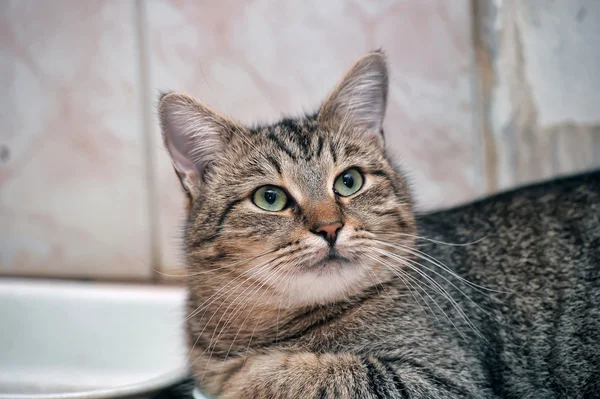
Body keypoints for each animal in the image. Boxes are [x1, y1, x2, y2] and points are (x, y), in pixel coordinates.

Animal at [158, 51, 600, 398]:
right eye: (270, 198)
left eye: (349, 181)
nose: (329, 228)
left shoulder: (442, 379)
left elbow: (311, 372)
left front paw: (244, 377)